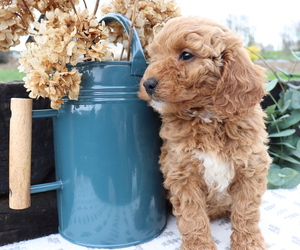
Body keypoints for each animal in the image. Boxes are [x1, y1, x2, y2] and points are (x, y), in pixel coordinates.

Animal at [138, 16, 272, 249]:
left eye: (186, 55)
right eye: (153, 57)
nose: (148, 84)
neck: (208, 118)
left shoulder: (250, 167)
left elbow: (246, 211)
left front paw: (248, 242)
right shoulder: (182, 172)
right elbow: (192, 215)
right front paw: (198, 245)